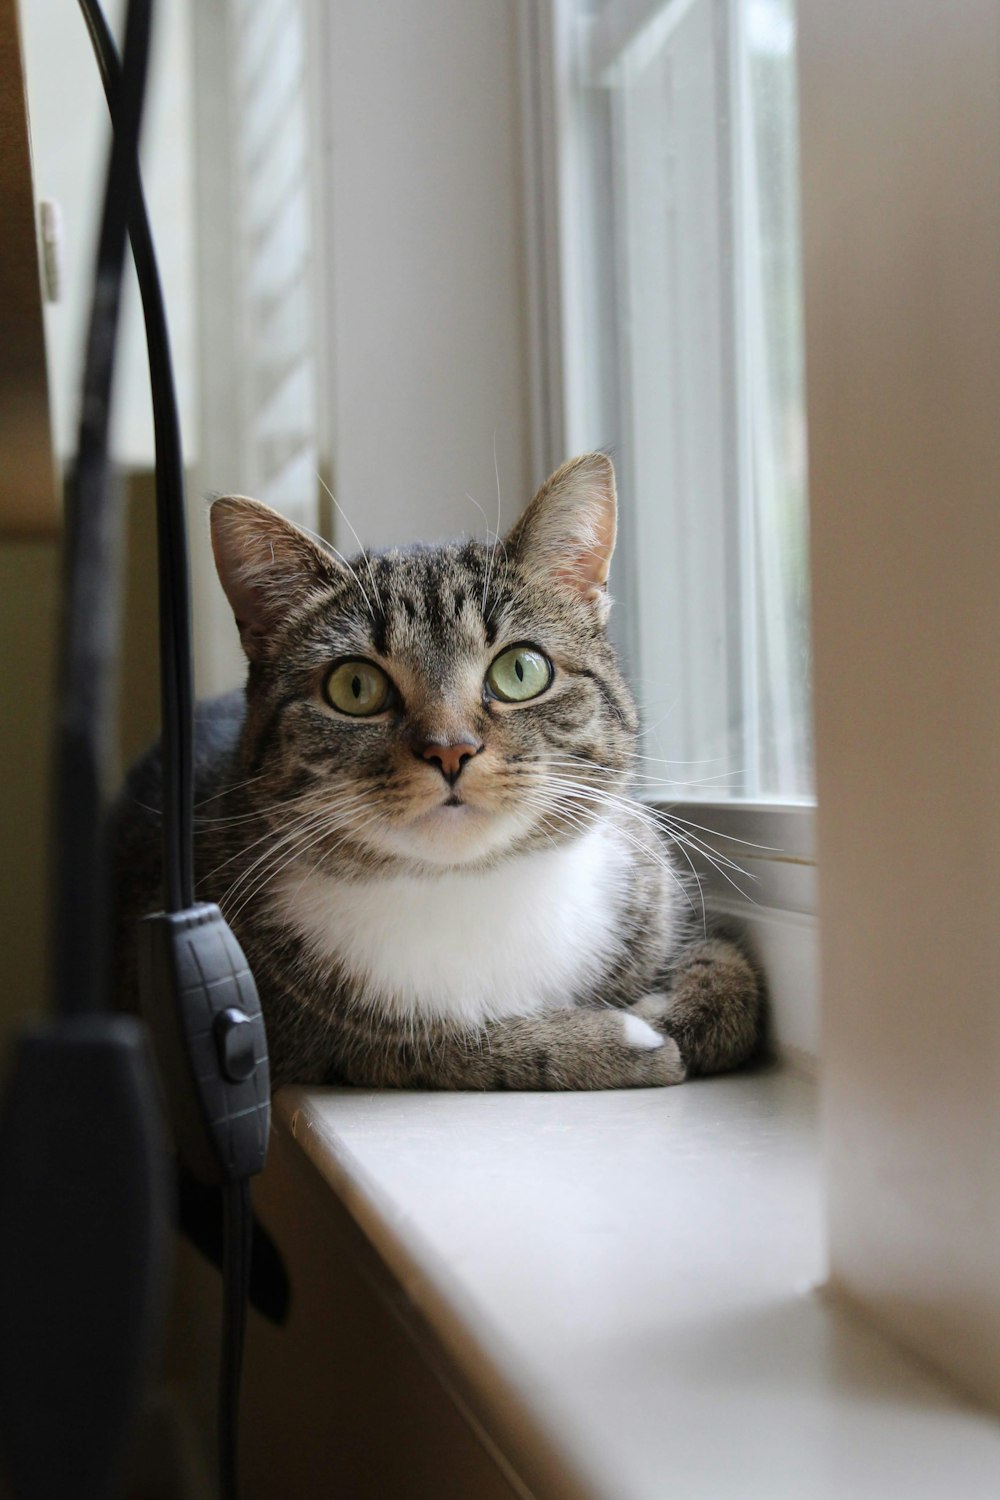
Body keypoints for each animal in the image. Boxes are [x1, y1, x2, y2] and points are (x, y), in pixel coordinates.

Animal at [113, 450, 761, 1098]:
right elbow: (451, 1043)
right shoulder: (310, 1036)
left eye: (521, 671)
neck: (472, 887)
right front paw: (618, 1040)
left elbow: (734, 981)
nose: (451, 750)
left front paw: (671, 1015)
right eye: (355, 687)